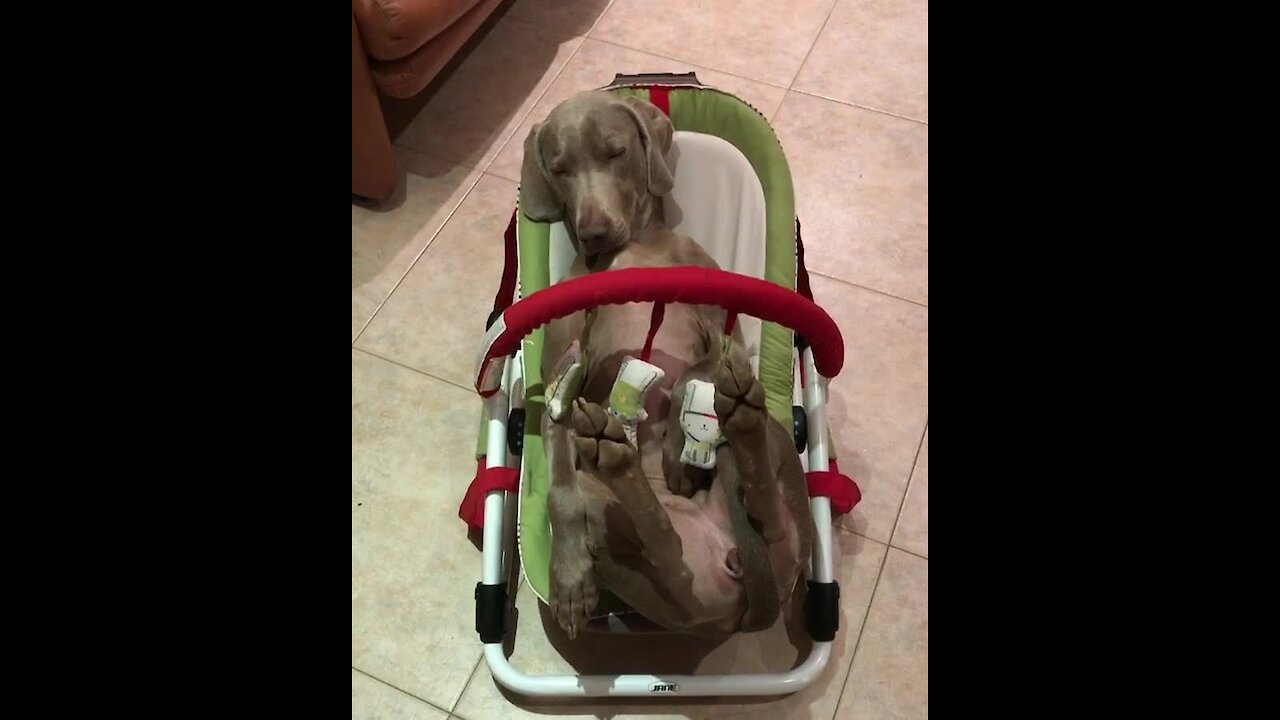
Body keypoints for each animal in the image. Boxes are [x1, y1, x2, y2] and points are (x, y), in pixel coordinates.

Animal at [517, 92, 808, 635]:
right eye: (559, 169)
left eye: (615, 152)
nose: (593, 231)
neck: (631, 249)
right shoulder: (560, 383)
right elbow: (558, 492)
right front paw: (570, 578)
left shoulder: (723, 331)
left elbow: (698, 368)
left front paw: (676, 448)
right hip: (634, 545)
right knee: (668, 552)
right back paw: (616, 456)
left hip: (777, 454)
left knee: (764, 512)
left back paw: (736, 420)